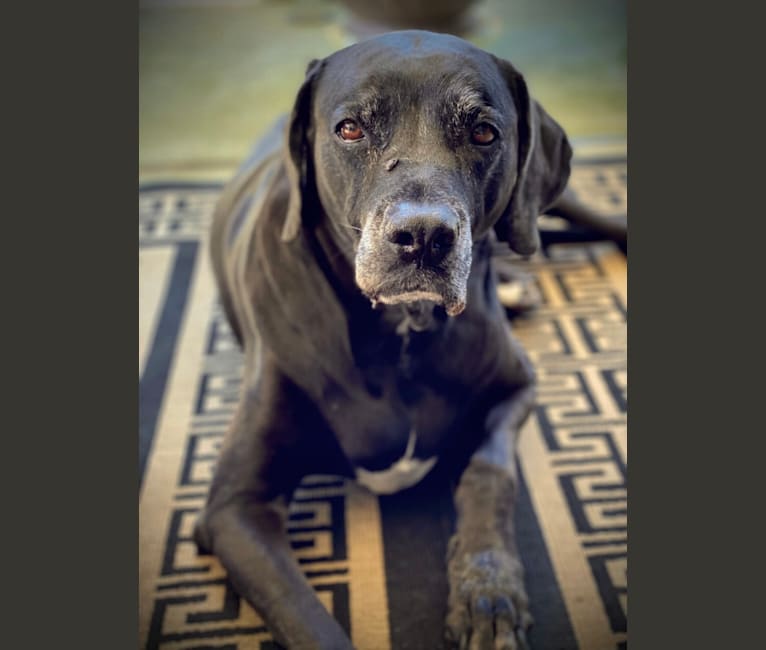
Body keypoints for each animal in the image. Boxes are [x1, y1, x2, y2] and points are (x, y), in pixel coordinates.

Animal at [195, 27, 572, 644]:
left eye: (483, 132)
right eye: (350, 128)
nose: (423, 236)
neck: (403, 332)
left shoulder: (516, 387)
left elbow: (490, 475)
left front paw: (488, 590)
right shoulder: (234, 509)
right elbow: (308, 622)